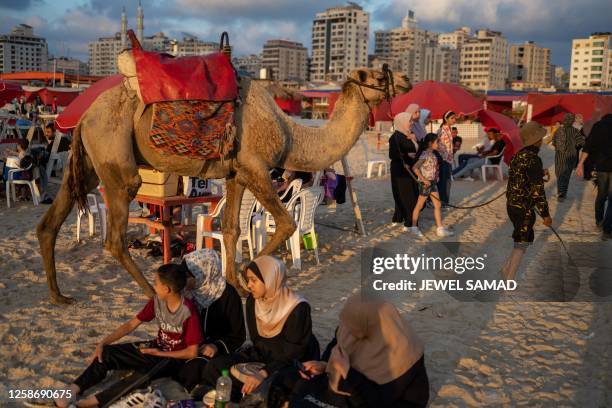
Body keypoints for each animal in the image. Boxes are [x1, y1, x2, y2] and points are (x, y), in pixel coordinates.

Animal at [38, 66, 412, 302]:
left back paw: (59, 296)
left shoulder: (236, 173)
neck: (290, 133)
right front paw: (249, 273)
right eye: (379, 75)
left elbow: (232, 228)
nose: (407, 79)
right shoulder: (256, 167)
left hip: (89, 163)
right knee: (114, 237)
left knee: (49, 223)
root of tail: (84, 116)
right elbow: (287, 223)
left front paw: (237, 283)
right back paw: (151, 293)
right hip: (116, 161)